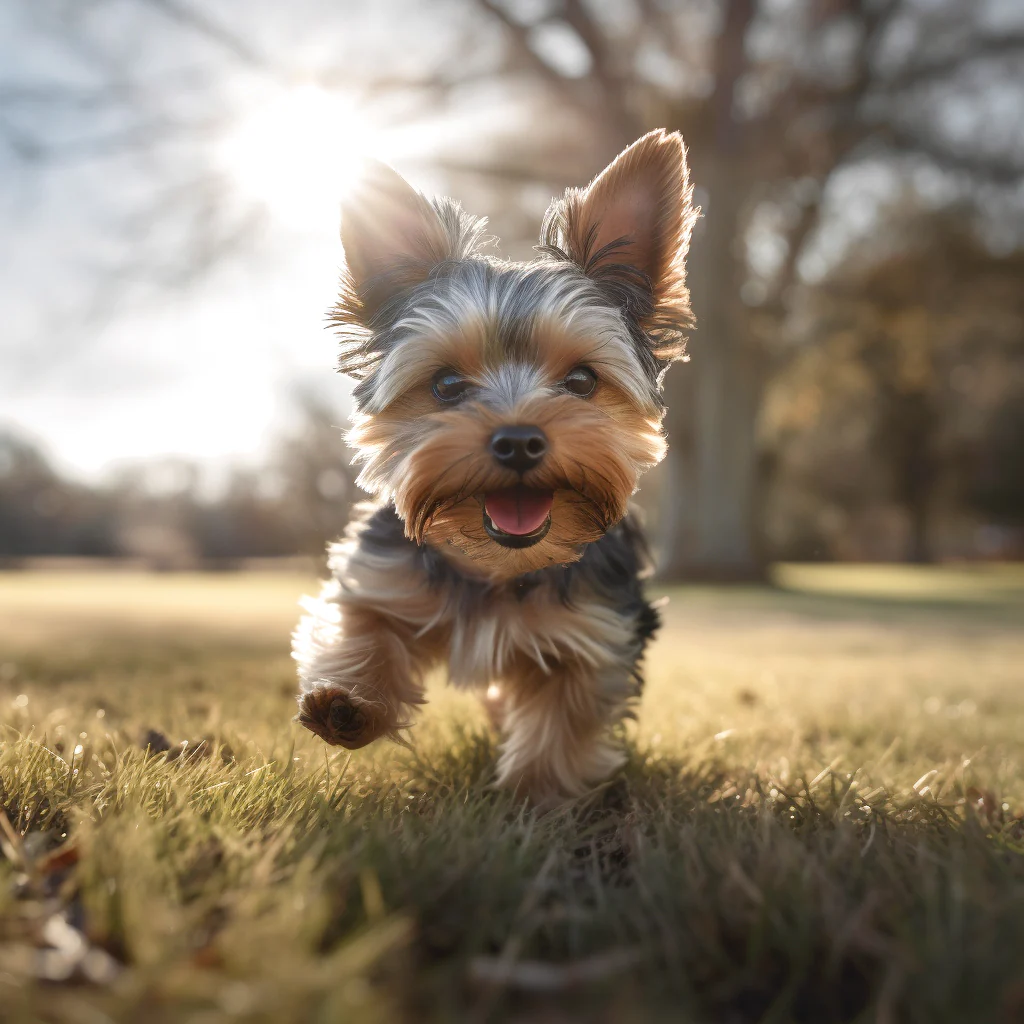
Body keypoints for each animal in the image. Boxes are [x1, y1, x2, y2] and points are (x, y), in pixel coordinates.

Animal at [292, 128, 700, 802]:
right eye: (447, 385)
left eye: (582, 380)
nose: (518, 442)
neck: (498, 568)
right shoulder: (383, 574)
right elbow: (360, 620)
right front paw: (347, 702)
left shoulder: (597, 630)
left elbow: (566, 718)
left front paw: (537, 799)